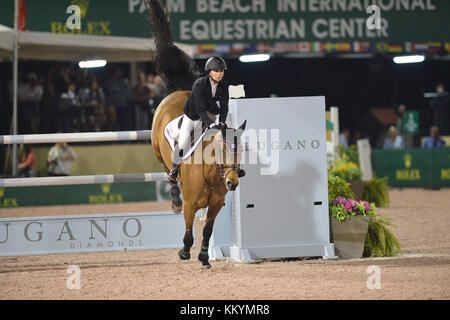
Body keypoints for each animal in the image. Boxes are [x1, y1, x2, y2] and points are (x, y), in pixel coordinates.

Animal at [147, 0, 246, 268]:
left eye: (242, 150)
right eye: (221, 150)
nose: (233, 183)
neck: (212, 174)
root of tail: (181, 92)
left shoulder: (216, 204)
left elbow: (208, 231)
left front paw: (204, 257)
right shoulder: (192, 204)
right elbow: (190, 230)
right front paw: (185, 252)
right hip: (159, 151)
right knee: (168, 170)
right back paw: (174, 199)